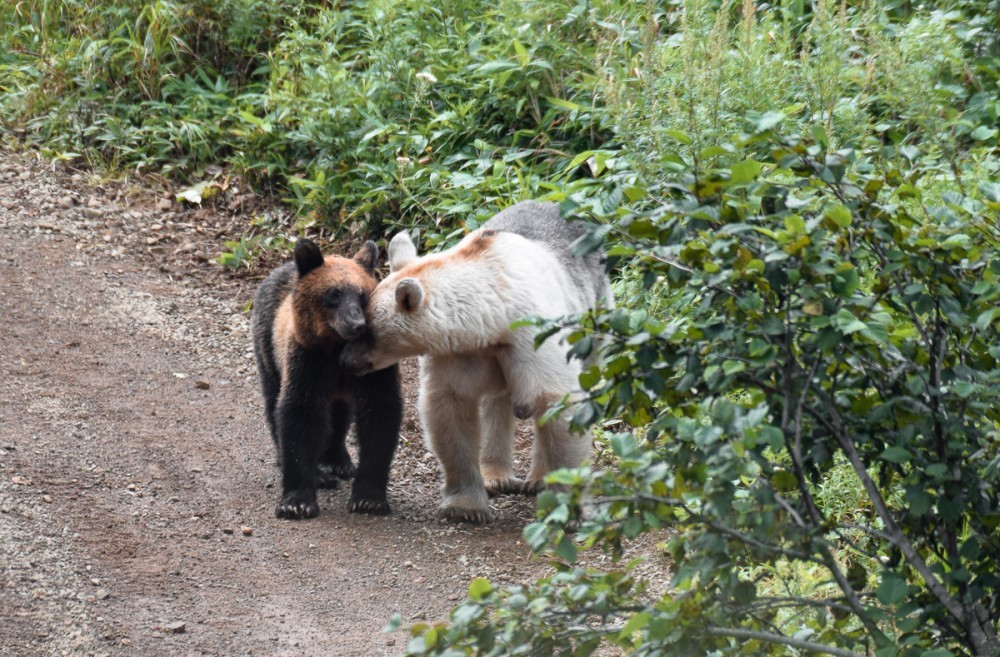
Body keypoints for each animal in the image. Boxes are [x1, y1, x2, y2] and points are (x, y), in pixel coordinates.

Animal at [250, 238, 402, 520]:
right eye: (334, 294)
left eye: (363, 294)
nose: (356, 324)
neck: (337, 352)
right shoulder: (308, 361)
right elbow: (299, 414)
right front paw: (297, 501)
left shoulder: (374, 371)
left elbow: (380, 415)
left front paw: (368, 499)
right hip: (268, 351)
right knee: (273, 401)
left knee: (339, 414)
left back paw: (338, 461)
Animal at [342, 201, 608, 524]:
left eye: (365, 331)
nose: (346, 361)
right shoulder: (460, 352)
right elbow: (450, 408)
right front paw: (465, 507)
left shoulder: (534, 339)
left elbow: (557, 401)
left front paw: (570, 509)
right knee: (497, 401)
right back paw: (496, 476)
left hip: (594, 310)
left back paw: (535, 480)